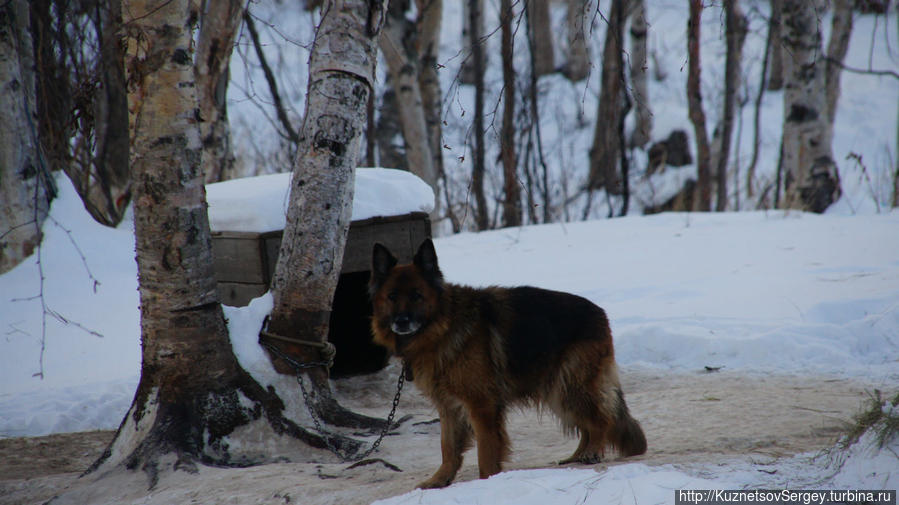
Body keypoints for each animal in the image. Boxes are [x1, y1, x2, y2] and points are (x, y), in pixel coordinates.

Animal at [370, 240, 644, 488]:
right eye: (392, 296)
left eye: (417, 296)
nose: (401, 322)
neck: (444, 326)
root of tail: (600, 313)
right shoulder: (448, 407)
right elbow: (448, 448)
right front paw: (440, 479)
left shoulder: (482, 406)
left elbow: (486, 452)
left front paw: (488, 483)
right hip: (557, 391)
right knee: (587, 424)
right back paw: (576, 456)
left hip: (568, 387)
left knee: (601, 419)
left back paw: (592, 451)